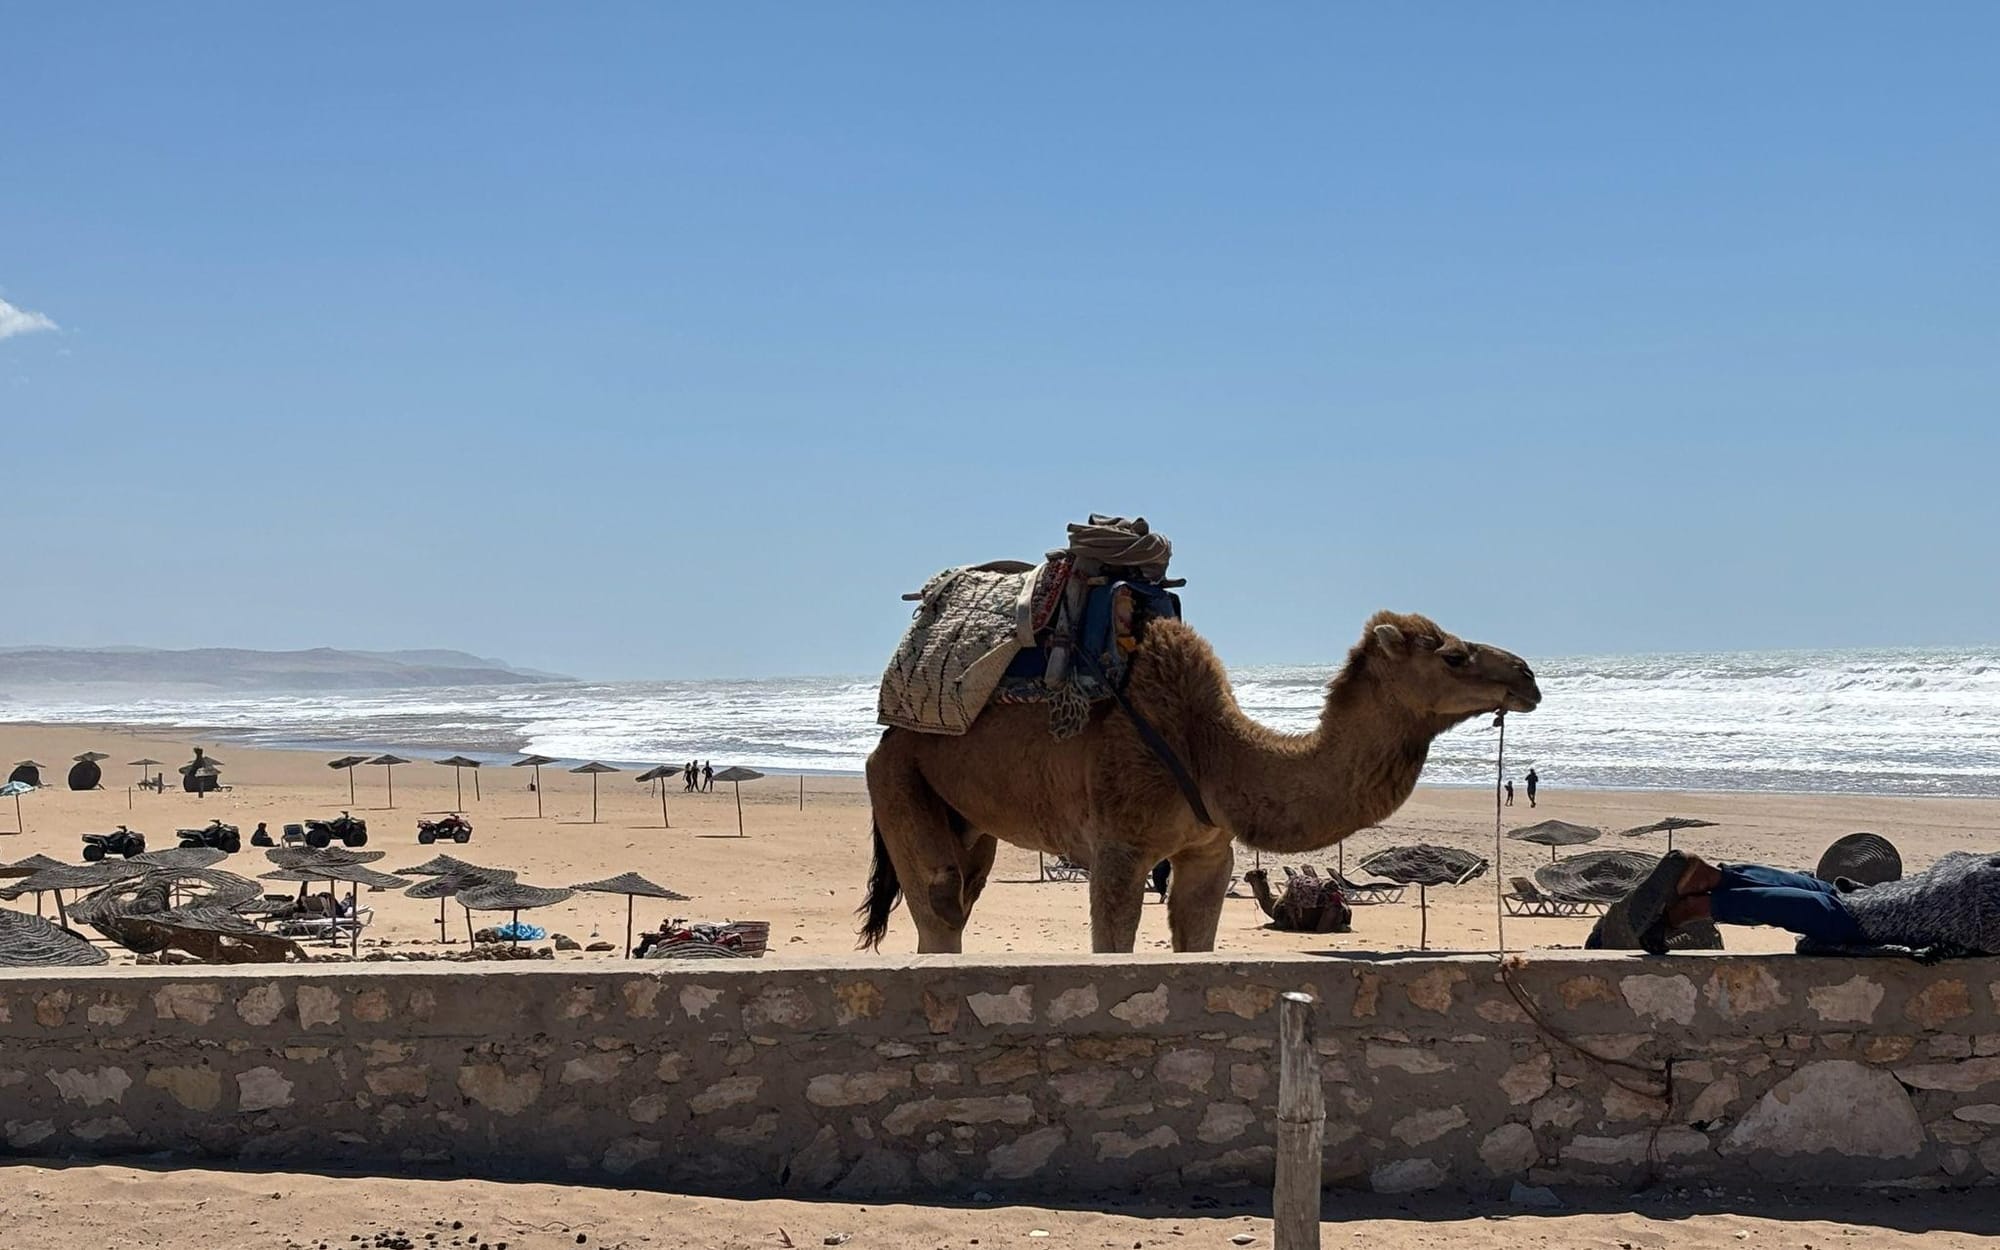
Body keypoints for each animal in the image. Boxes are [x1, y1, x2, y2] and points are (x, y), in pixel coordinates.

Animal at [859, 609, 1541, 954]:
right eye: (1451, 654)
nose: (1528, 675)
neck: (1210, 753)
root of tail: (888, 735)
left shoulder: (1210, 850)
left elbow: (1196, 936)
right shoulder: (1120, 846)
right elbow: (1113, 943)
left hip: (965, 814)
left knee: (963, 894)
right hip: (894, 776)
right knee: (941, 905)